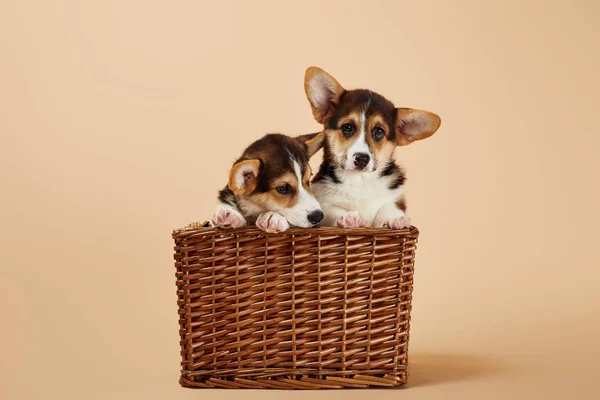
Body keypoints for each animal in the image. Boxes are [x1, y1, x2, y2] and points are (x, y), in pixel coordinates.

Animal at [304, 65, 440, 228]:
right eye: (347, 127)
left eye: (379, 131)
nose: (362, 159)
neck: (360, 181)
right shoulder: (323, 202)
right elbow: (331, 210)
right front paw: (349, 217)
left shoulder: (395, 197)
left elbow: (388, 208)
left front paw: (396, 219)